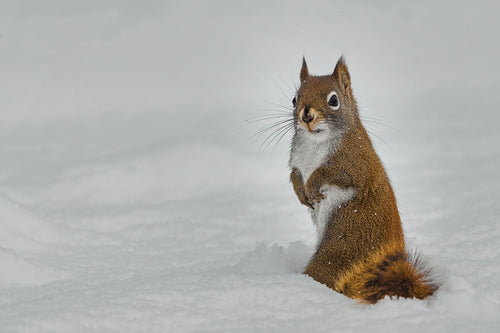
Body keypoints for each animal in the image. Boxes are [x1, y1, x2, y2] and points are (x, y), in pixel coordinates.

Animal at [290, 56, 438, 300]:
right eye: (294, 99)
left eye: (333, 100)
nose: (307, 115)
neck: (315, 141)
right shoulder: (296, 161)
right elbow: (294, 174)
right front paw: (300, 191)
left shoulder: (354, 162)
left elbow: (331, 174)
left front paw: (311, 185)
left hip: (345, 238)